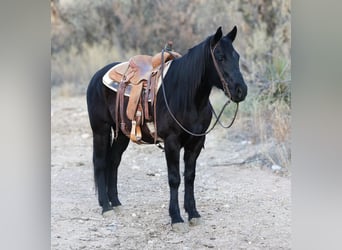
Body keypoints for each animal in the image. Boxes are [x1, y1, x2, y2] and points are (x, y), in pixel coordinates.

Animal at [85, 25, 246, 230]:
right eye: (219, 56)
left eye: (237, 56)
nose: (241, 90)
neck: (186, 96)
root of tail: (98, 76)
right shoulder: (172, 142)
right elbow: (174, 178)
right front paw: (176, 217)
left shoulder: (196, 142)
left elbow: (190, 176)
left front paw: (193, 213)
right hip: (101, 130)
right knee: (99, 162)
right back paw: (106, 206)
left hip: (122, 133)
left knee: (113, 161)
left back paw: (116, 203)